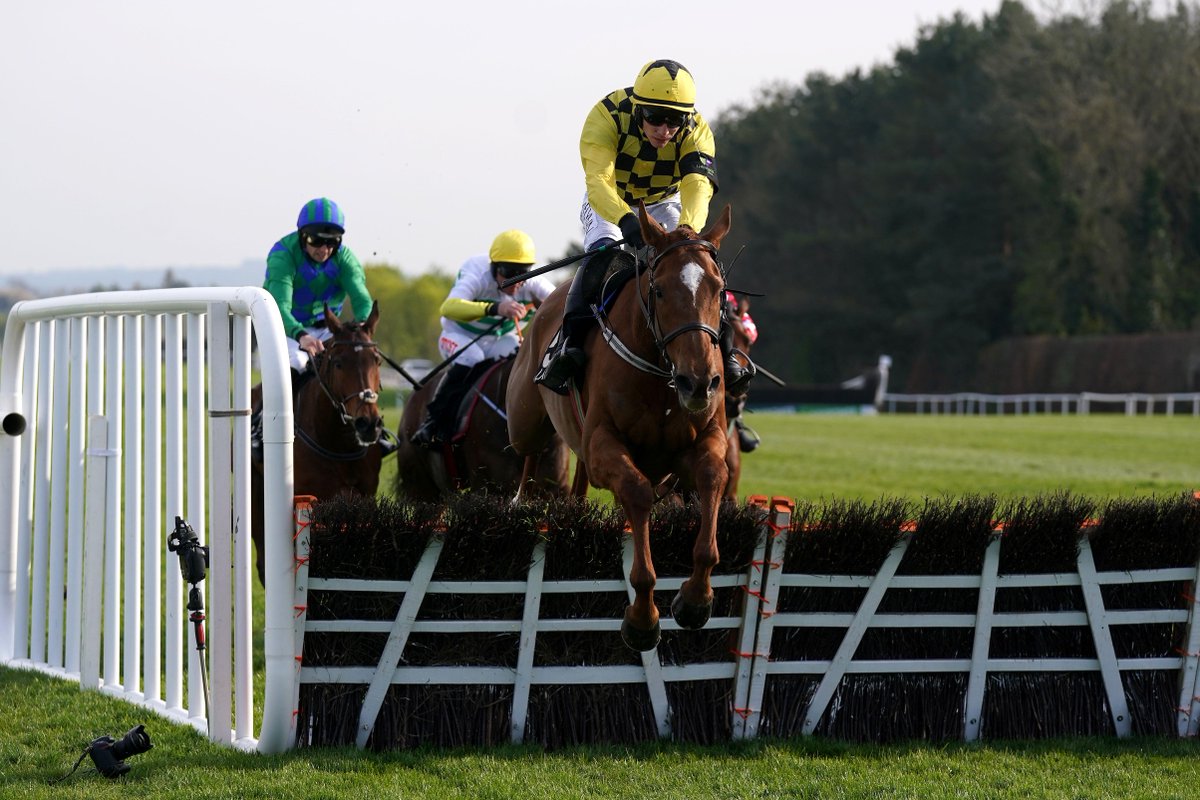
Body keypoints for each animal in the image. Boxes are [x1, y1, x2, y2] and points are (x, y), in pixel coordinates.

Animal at [249, 303, 384, 585]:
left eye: (376, 360)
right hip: (256, 492)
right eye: (338, 362)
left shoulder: (365, 496)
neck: (337, 444)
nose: (368, 424)